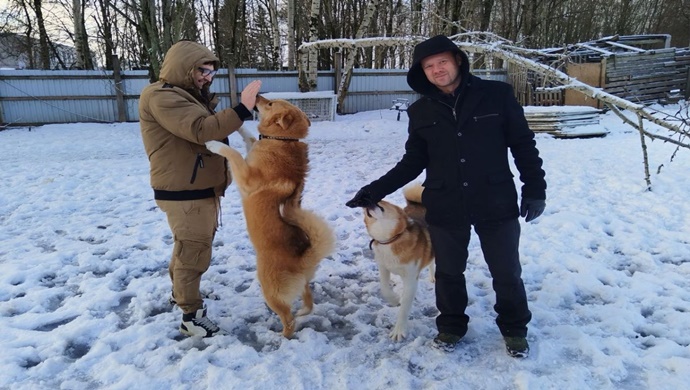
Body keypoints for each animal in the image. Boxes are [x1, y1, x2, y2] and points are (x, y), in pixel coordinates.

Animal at [204, 95, 334, 338]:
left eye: (272, 103)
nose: (256, 96)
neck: (282, 140)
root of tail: (303, 258)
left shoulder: (246, 177)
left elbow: (233, 153)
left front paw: (215, 144)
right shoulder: (252, 150)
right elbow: (249, 137)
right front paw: (239, 124)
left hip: (269, 288)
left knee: (288, 320)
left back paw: (283, 337)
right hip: (301, 285)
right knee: (308, 302)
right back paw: (302, 312)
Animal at [362, 184, 432, 342]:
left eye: (380, 204)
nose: (367, 202)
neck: (391, 239)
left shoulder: (411, 277)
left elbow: (405, 306)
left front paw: (399, 330)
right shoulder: (383, 267)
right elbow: (384, 287)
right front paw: (394, 299)